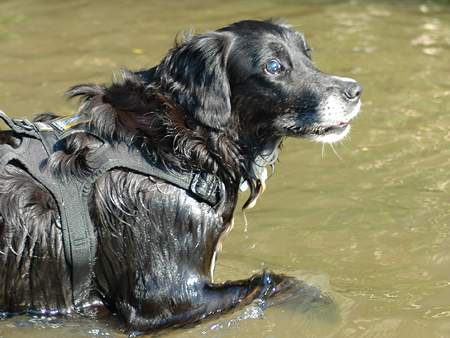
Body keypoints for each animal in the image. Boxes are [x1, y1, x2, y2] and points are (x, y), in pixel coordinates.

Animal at [0, 19, 360, 332]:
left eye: (307, 55)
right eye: (274, 66)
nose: (355, 90)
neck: (181, 141)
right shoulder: (167, 300)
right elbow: (278, 281)